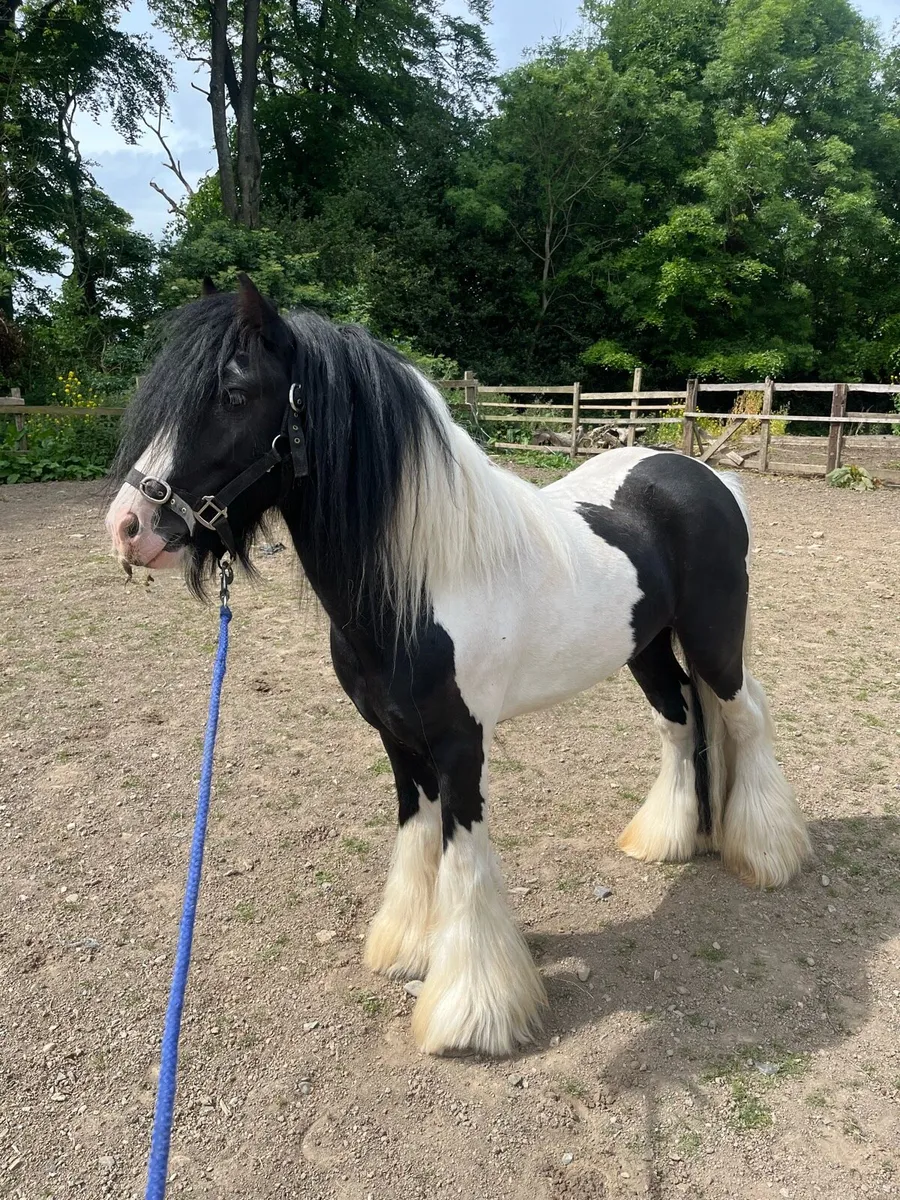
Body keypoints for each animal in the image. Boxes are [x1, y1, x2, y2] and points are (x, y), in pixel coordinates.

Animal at [105, 275, 811, 1057]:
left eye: (233, 395)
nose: (128, 527)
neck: (421, 585)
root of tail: (708, 477)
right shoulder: (396, 738)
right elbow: (418, 837)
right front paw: (409, 947)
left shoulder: (460, 743)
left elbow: (464, 859)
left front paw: (473, 1011)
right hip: (649, 649)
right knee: (681, 722)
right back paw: (664, 840)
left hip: (715, 641)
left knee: (745, 717)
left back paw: (768, 853)